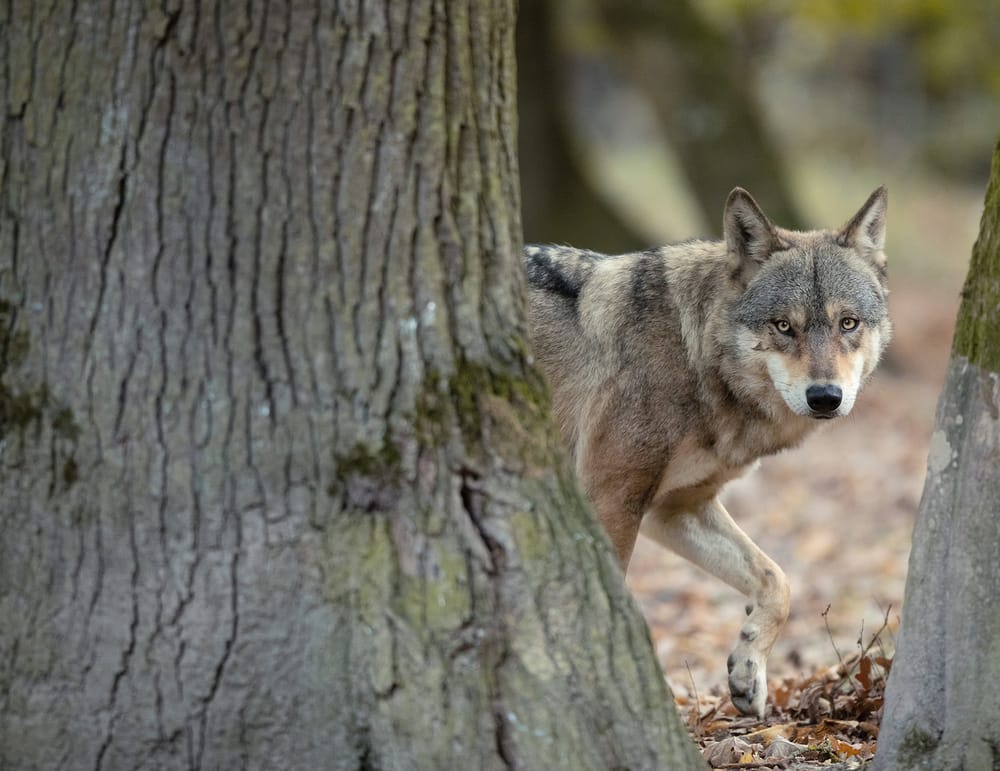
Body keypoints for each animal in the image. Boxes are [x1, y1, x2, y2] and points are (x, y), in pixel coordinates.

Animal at [525, 187, 890, 717]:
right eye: (784, 326)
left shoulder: (676, 508)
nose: (825, 397)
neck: (692, 354)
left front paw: (748, 673)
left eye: (848, 323)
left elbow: (777, 581)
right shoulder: (610, 497)